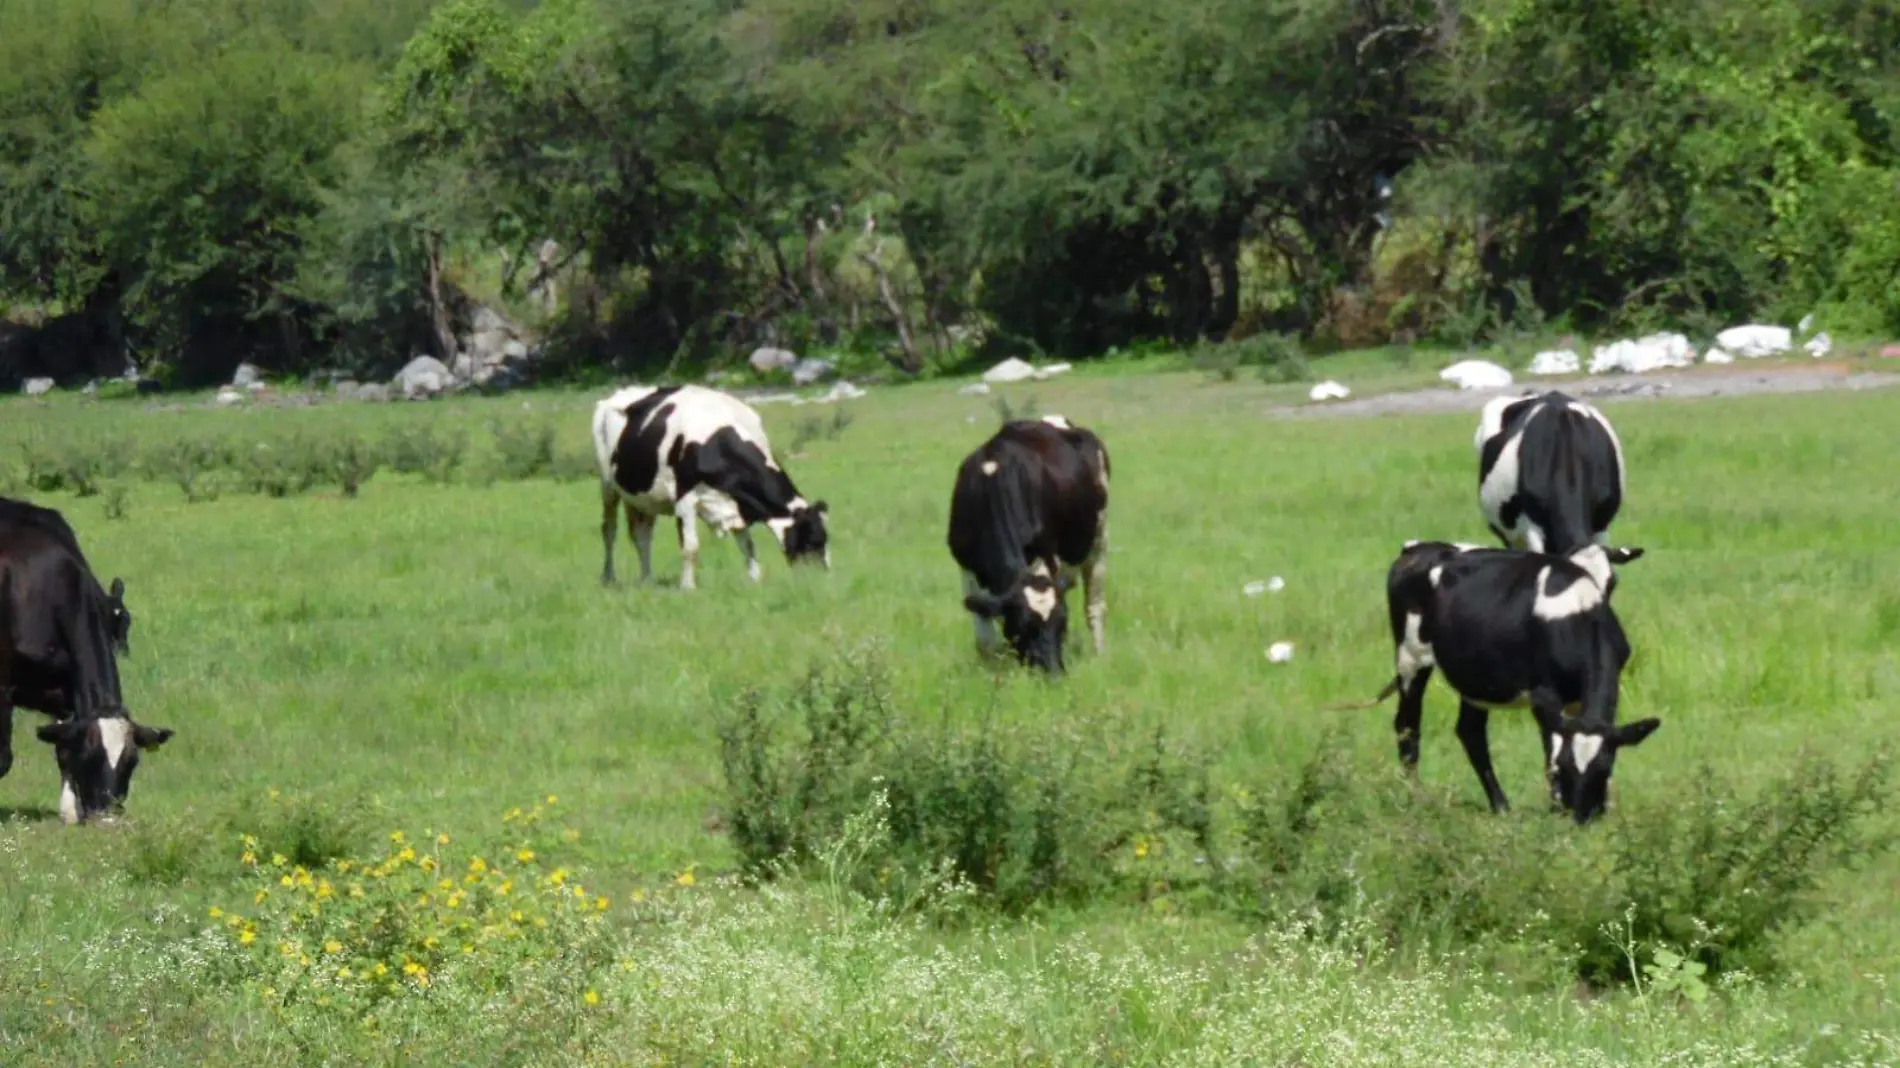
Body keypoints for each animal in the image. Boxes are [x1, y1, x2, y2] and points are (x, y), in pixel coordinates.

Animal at [1, 505, 173, 824]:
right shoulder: (3, 686)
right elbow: (3, 758)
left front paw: (69, 812)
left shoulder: (66, 692)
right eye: (91, 756)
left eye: (131, 761)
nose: (107, 817)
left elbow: (63, 747)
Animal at [592, 381, 832, 585]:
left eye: (824, 539)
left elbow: (747, 545)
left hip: (642, 497)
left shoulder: (737, 504)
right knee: (609, 530)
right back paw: (609, 577)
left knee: (642, 535)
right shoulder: (685, 498)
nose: (822, 578)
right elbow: (690, 547)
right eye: (812, 541)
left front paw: (755, 580)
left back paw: (647, 580)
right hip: (608, 485)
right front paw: (687, 587)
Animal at [950, 414, 1109, 672]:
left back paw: (1100, 654)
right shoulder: (966, 569)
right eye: (1024, 627)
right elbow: (984, 639)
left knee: (1094, 606)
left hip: (1099, 542)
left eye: (1063, 623)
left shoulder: (1045, 557)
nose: (1054, 672)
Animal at [1360, 535, 1656, 817]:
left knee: (1470, 732)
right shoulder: (1544, 696)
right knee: (1407, 726)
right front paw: (1556, 808)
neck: (1580, 613)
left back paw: (1500, 806)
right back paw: (1417, 797)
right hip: (1411, 656)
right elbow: (1550, 753)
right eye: (1565, 767)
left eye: (1605, 767)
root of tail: (1418, 548)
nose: (1581, 815)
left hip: (1474, 677)